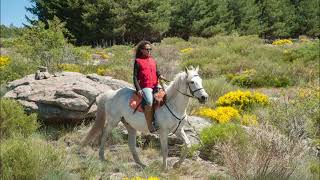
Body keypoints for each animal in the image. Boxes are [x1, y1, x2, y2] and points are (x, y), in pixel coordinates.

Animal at [81, 66, 209, 170]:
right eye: (192, 82)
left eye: (201, 81)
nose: (204, 97)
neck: (173, 105)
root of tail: (111, 93)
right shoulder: (163, 131)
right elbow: (165, 149)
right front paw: (164, 168)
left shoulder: (178, 130)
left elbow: (188, 144)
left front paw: (177, 164)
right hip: (113, 121)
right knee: (104, 134)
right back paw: (102, 157)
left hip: (130, 126)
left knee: (131, 145)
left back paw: (142, 164)